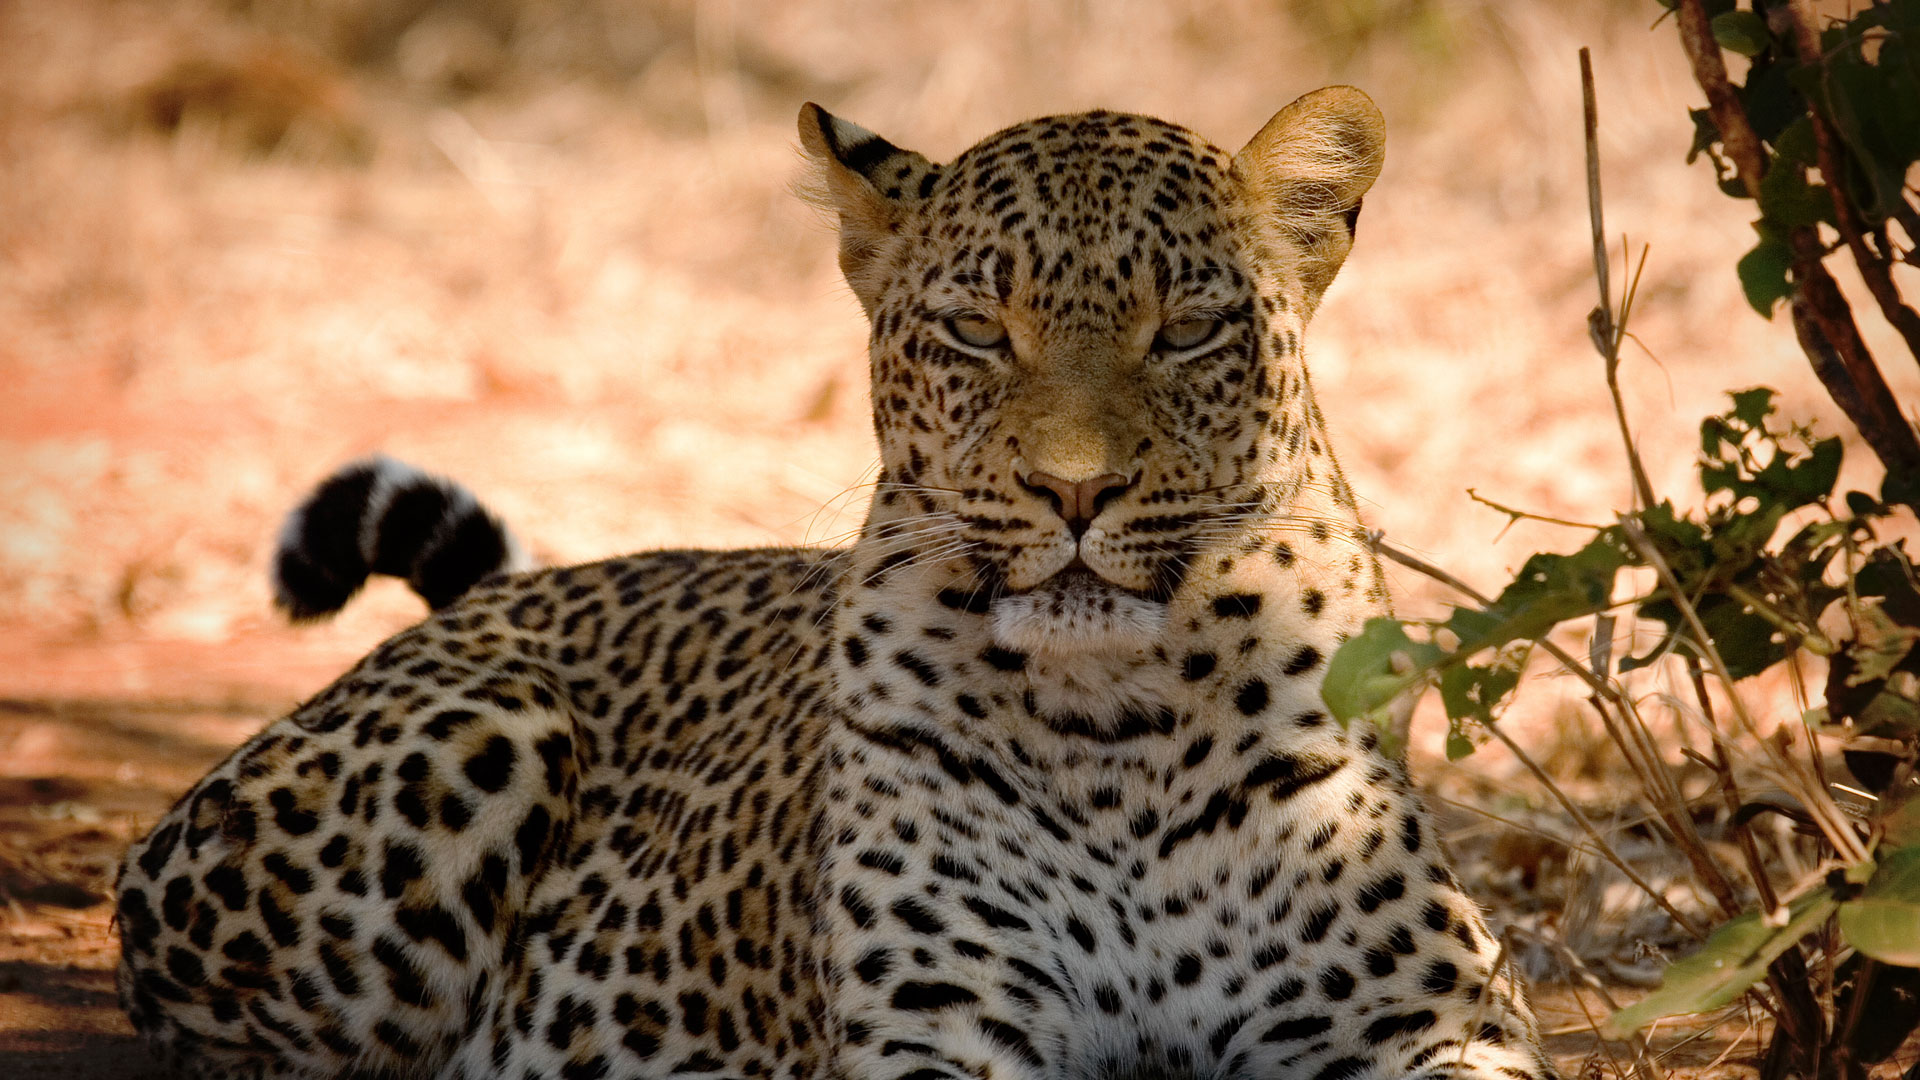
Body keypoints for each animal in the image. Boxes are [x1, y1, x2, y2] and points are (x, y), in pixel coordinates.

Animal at [112, 90, 1559, 1076]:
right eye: (977, 330)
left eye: (1189, 330)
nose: (1076, 491)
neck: (1114, 725)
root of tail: (506, 597)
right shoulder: (937, 1027)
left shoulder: (1427, 1015)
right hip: (473, 743)